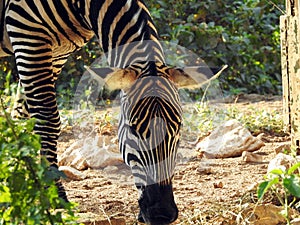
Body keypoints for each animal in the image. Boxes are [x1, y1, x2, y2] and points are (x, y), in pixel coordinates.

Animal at [1, 0, 200, 224]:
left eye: (178, 130)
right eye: (133, 130)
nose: (163, 214)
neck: (81, 7)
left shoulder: (57, 52)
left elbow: (21, 115)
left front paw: (15, 175)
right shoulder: (27, 31)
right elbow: (47, 119)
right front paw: (54, 195)